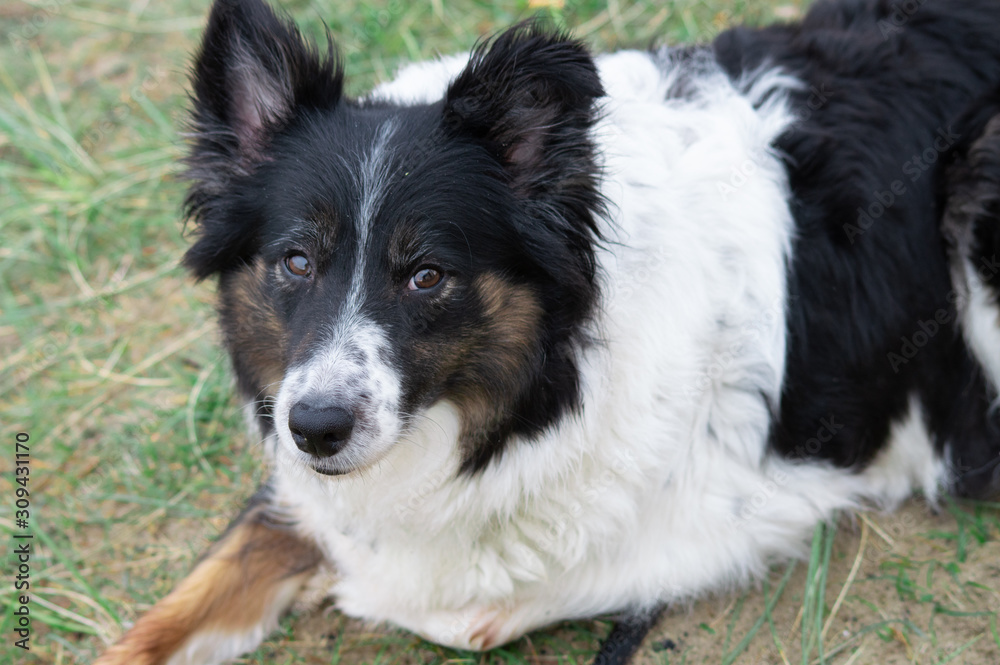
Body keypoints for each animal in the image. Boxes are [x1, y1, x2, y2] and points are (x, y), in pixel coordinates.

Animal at [94, 0, 1000, 660]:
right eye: (295, 261)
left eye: (428, 275)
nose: (317, 428)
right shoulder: (297, 471)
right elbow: (167, 616)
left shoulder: (748, 504)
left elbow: (455, 607)